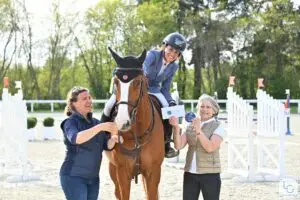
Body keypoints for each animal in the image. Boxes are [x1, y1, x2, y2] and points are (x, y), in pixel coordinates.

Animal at [106, 48, 164, 200]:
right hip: (112, 169)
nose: (122, 121)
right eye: (116, 82)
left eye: (138, 82)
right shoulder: (122, 173)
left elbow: (152, 195)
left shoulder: (153, 173)